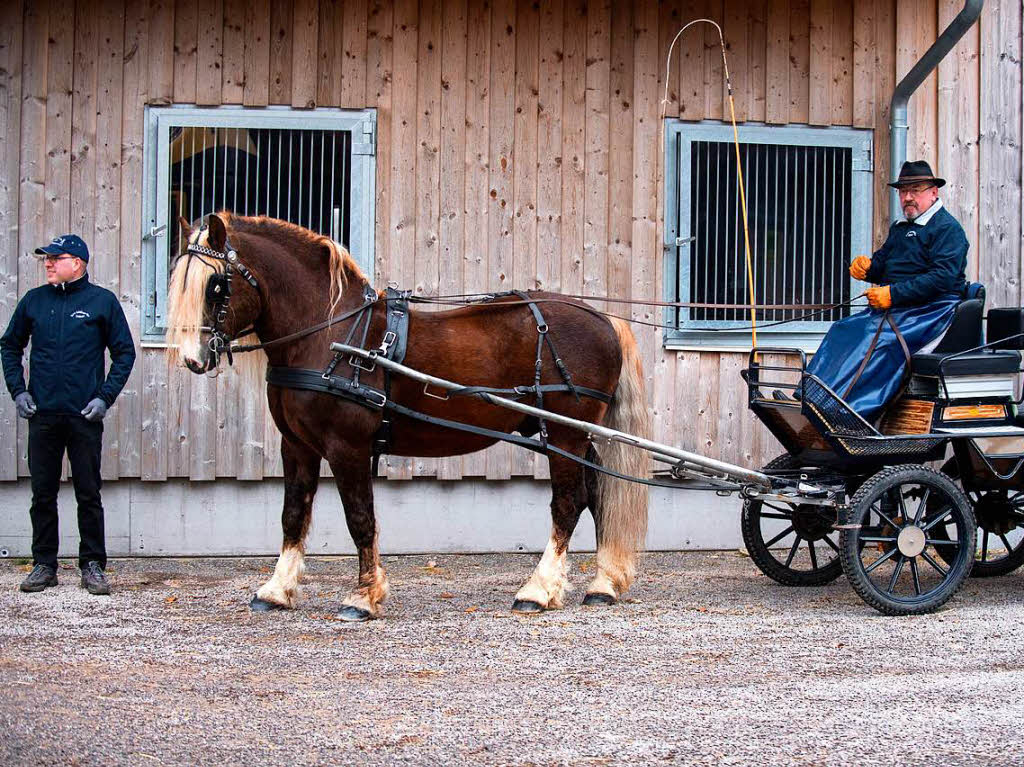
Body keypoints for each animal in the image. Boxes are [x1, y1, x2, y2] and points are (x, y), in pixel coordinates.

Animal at [166, 211, 647, 618]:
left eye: (215, 285)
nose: (192, 358)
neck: (332, 335)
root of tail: (602, 318)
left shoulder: (347, 448)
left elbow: (360, 518)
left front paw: (363, 597)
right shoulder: (297, 445)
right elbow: (292, 514)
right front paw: (276, 590)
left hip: (565, 434)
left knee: (569, 502)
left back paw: (538, 590)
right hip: (572, 436)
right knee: (597, 495)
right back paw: (603, 584)